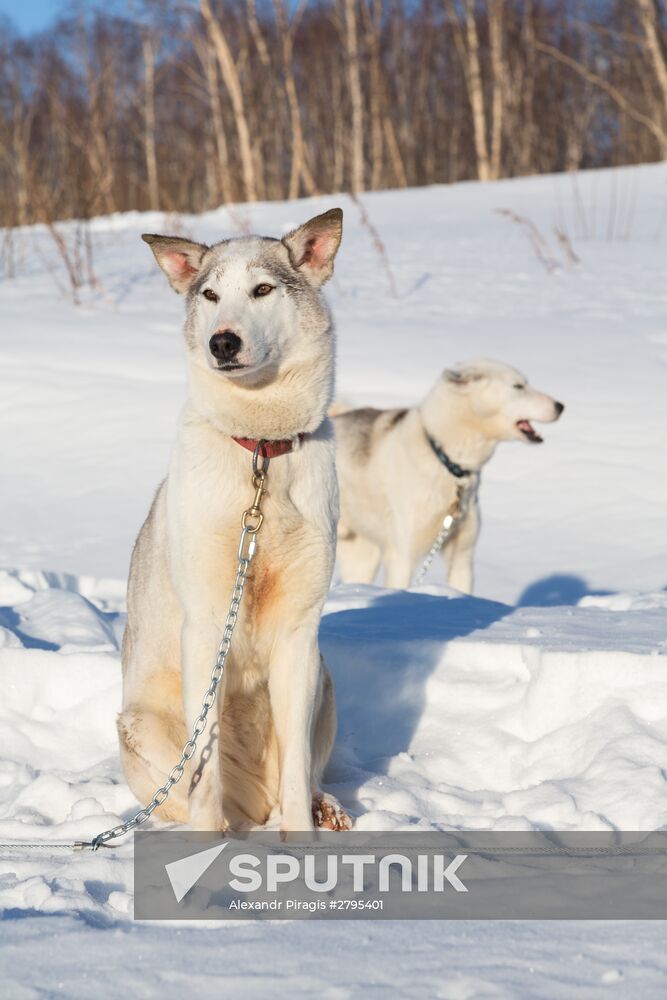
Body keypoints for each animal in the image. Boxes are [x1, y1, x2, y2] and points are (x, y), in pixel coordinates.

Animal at [118, 207, 354, 832]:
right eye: (210, 294)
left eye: (263, 290)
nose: (221, 340)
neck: (261, 454)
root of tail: (255, 802)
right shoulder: (204, 626)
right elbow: (204, 769)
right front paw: (209, 844)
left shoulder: (299, 634)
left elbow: (297, 767)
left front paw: (303, 840)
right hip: (140, 725)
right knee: (189, 789)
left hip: (324, 681)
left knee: (303, 774)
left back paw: (324, 808)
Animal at [334, 360, 564, 592]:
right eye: (518, 386)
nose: (560, 406)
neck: (445, 459)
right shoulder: (401, 557)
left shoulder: (462, 556)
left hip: (362, 557)